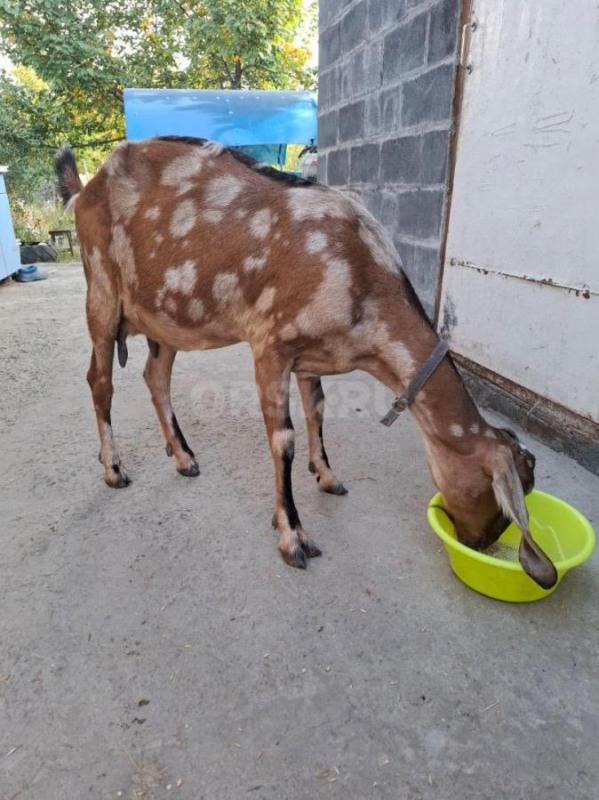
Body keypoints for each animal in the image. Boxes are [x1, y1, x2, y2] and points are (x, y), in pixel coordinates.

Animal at [55, 136, 557, 589]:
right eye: (506, 495)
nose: (478, 543)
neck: (360, 275)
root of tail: (85, 189)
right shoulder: (270, 344)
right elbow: (284, 440)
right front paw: (293, 536)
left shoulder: (311, 356)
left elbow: (317, 412)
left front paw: (328, 475)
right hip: (101, 294)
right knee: (99, 380)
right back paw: (114, 469)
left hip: (164, 316)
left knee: (154, 376)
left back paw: (183, 457)